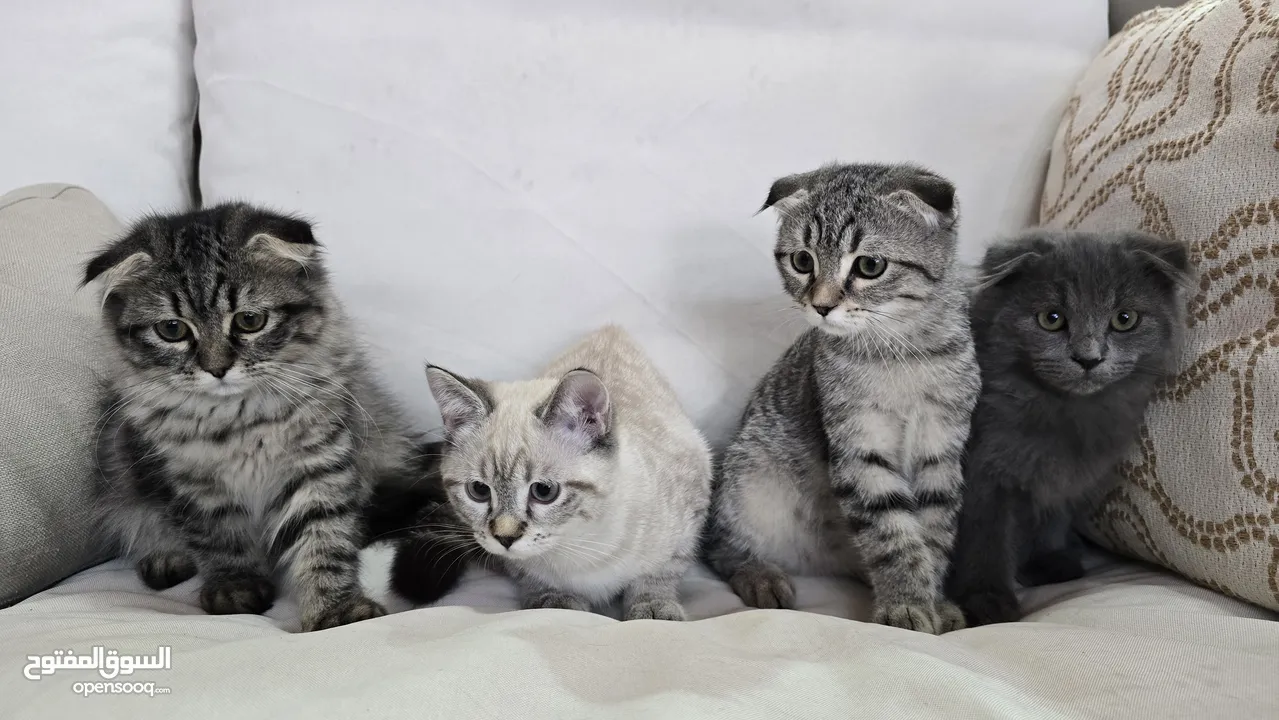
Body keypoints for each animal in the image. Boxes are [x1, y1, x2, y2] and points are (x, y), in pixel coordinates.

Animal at [85, 203, 424, 631]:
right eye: (172, 329)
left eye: (249, 321)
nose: (216, 368)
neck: (239, 421)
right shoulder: (192, 485)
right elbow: (221, 541)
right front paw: (236, 588)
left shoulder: (318, 465)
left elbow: (324, 541)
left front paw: (335, 610)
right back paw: (165, 557)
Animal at [414, 327, 711, 618]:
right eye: (478, 491)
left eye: (544, 491)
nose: (505, 539)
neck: (577, 544)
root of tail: (612, 329)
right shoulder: (516, 563)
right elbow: (530, 576)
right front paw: (555, 601)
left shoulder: (692, 509)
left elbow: (658, 574)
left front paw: (653, 607)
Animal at [700, 160, 977, 634]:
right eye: (802, 260)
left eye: (869, 265)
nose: (822, 305)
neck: (903, 354)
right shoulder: (858, 448)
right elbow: (891, 535)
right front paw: (905, 604)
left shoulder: (942, 451)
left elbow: (934, 533)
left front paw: (934, 600)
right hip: (751, 479)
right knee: (721, 544)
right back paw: (760, 575)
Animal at [951, 230, 1186, 626]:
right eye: (1051, 318)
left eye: (1125, 319)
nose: (1088, 359)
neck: (1062, 413)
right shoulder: (983, 473)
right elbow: (985, 537)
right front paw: (987, 600)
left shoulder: (1065, 475)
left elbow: (1051, 519)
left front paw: (1046, 561)